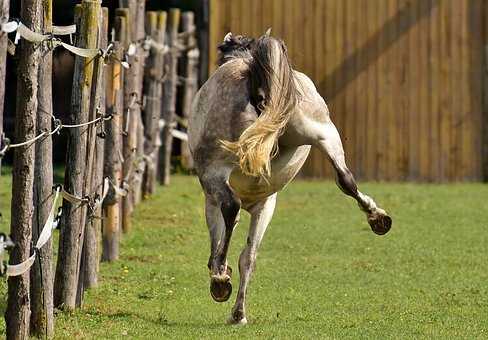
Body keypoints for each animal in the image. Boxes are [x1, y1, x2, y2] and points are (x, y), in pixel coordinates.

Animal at [188, 31, 392, 324]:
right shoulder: (265, 205)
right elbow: (248, 258)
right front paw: (239, 314)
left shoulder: (213, 201)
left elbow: (222, 241)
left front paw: (221, 278)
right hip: (324, 134)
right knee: (345, 179)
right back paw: (378, 218)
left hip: (215, 172)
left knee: (231, 206)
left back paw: (219, 281)